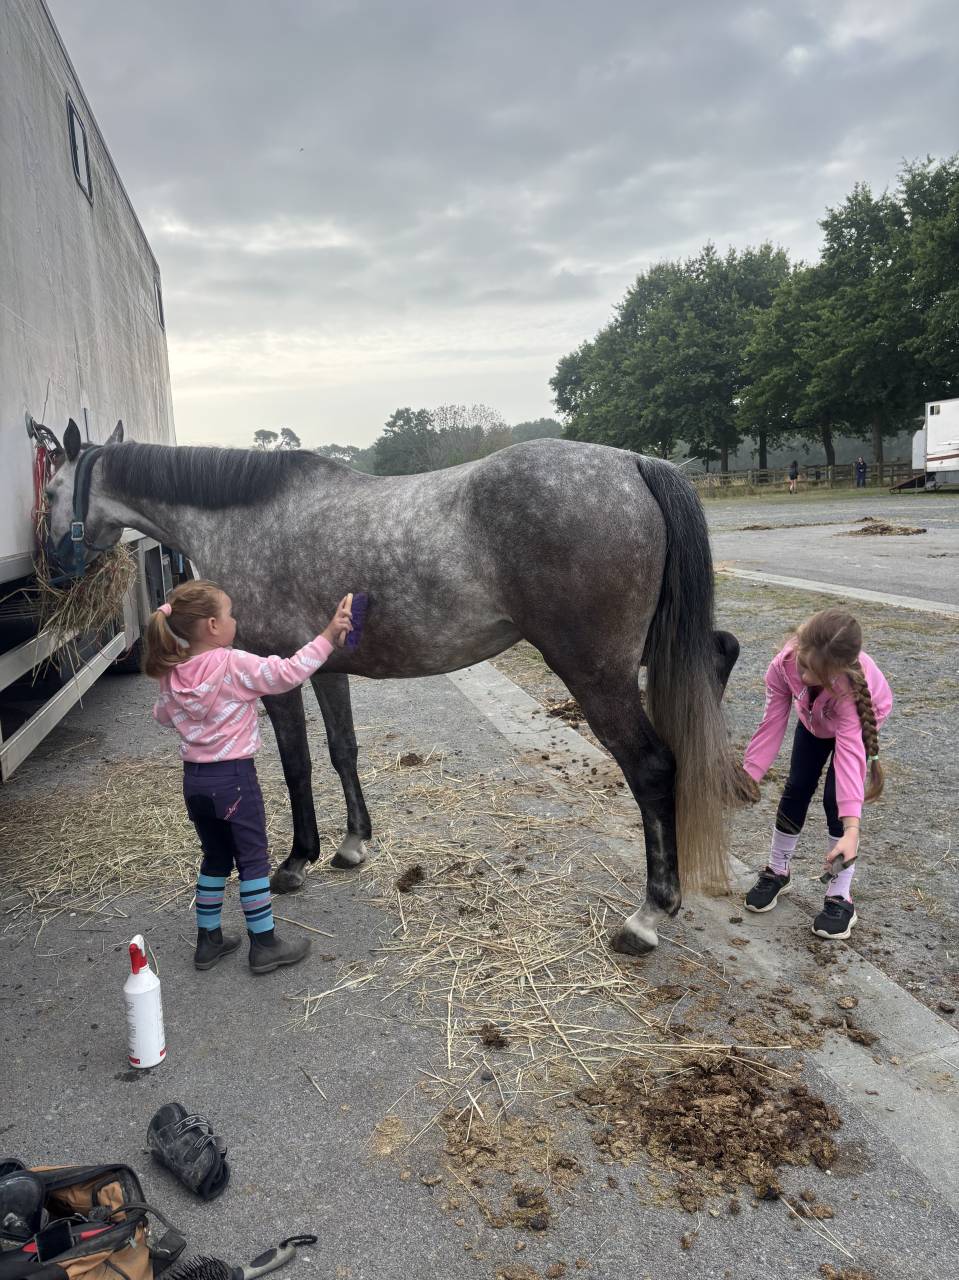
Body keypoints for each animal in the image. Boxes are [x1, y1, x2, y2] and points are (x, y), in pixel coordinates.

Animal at [44, 418, 748, 955]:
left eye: (49, 488)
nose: (56, 566)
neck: (245, 518)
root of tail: (634, 463)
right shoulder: (324, 668)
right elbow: (342, 751)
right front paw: (353, 844)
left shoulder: (272, 669)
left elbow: (297, 763)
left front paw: (297, 860)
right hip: (653, 644)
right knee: (717, 659)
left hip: (595, 671)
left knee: (653, 767)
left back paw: (649, 914)